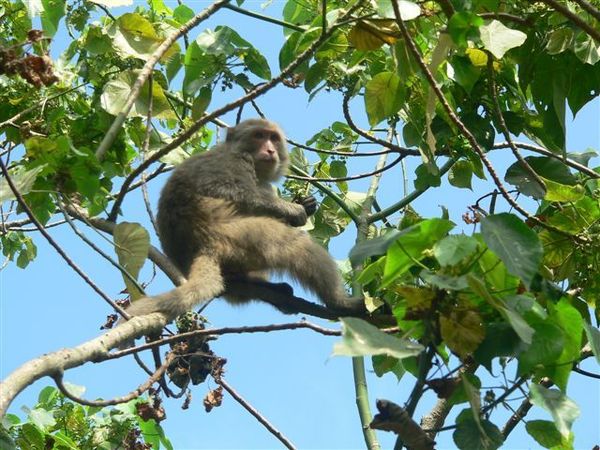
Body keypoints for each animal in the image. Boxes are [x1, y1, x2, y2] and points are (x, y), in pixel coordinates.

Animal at [124, 118, 364, 318]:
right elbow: (231, 190)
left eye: (273, 138)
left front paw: (306, 203)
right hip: (240, 236)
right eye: (259, 135)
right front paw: (295, 211)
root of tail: (200, 247)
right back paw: (339, 302)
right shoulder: (234, 161)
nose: (270, 150)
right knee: (295, 244)